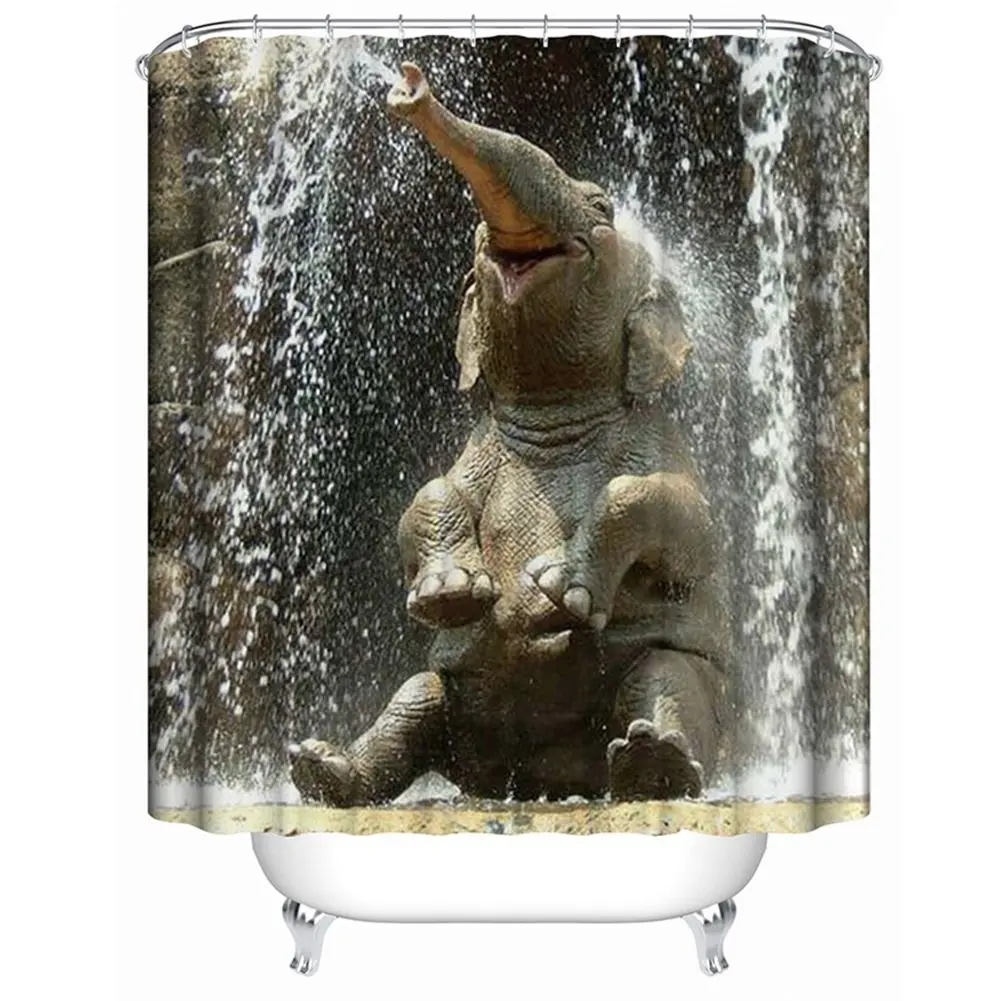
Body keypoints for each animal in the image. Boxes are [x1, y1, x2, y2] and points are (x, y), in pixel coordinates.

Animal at [289, 63, 729, 807]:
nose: (409, 89)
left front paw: (558, 589)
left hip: (674, 676)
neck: (555, 412)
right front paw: (450, 593)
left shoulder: (658, 440)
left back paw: (652, 765)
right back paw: (322, 769)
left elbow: (690, 526)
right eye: (474, 241)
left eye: (602, 208)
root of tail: (542, 777)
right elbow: (426, 495)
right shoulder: (478, 453)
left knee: (667, 675)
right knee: (415, 697)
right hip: (455, 704)